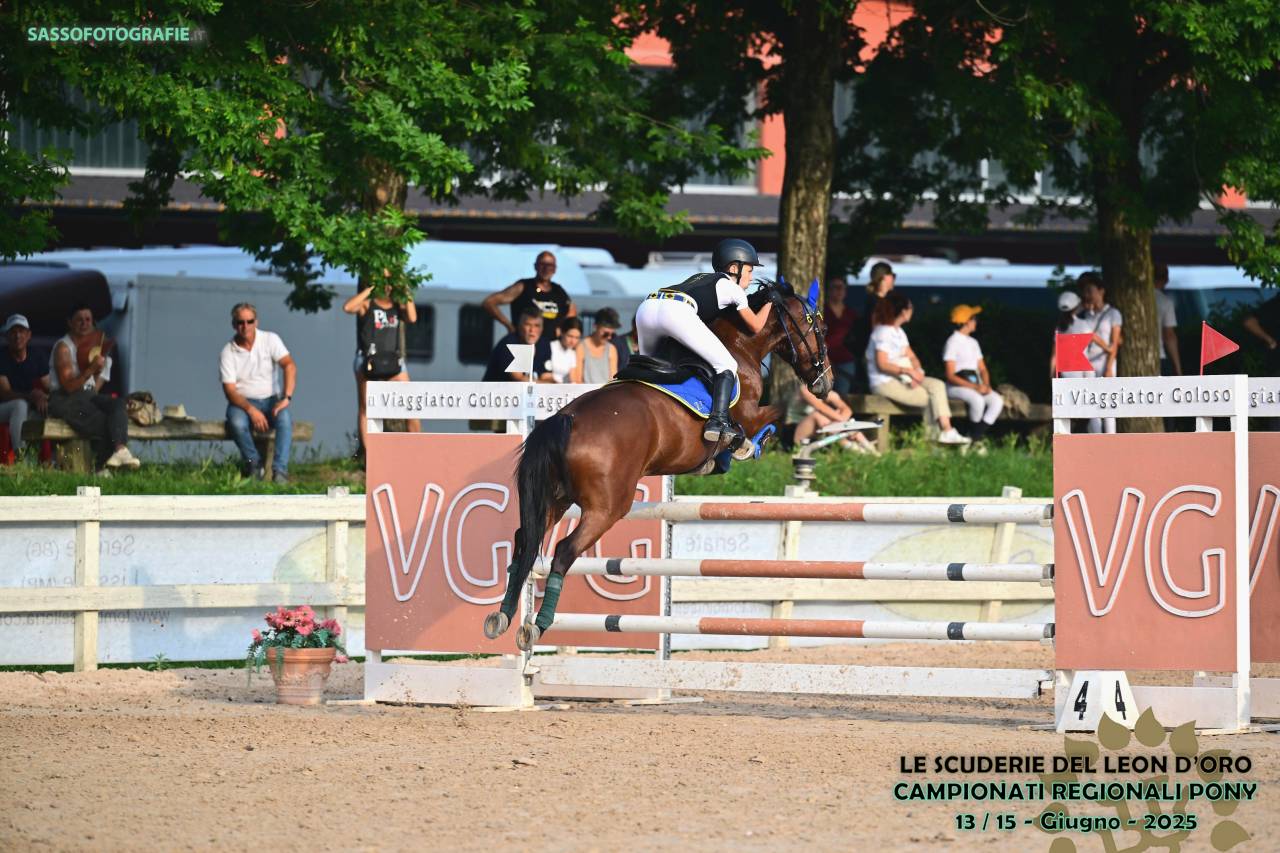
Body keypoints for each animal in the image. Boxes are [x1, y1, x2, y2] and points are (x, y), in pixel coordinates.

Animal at [483, 278, 832, 650]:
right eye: (820, 327)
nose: (826, 384)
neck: (741, 344)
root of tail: (564, 420)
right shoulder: (750, 412)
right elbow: (774, 415)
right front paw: (744, 445)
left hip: (555, 499)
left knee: (525, 540)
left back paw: (502, 617)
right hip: (607, 508)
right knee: (563, 551)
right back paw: (538, 624)